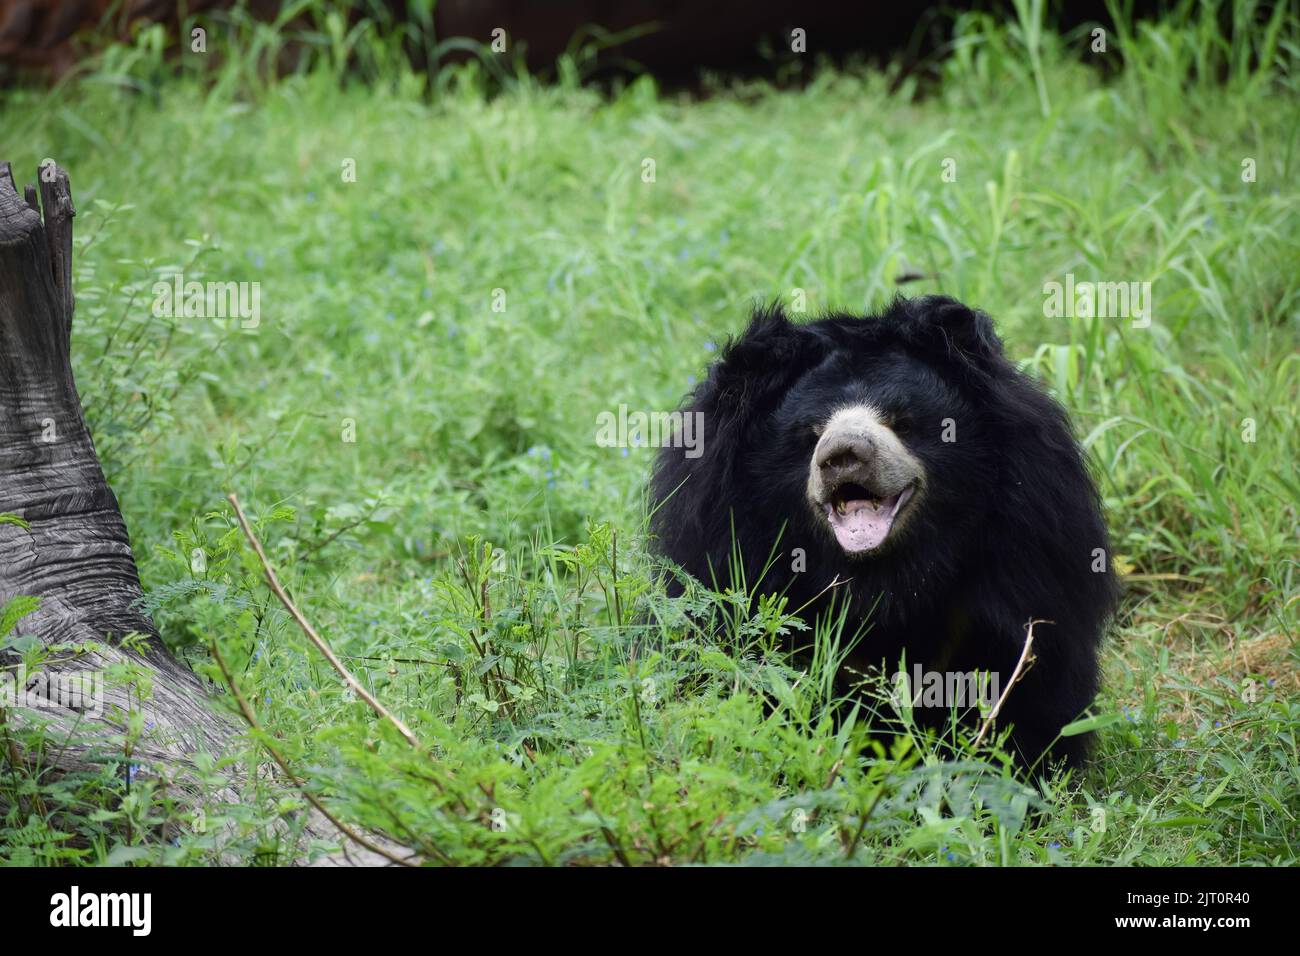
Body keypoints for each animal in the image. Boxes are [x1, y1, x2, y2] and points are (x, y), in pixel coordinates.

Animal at [650, 297, 1118, 770]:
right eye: (811, 433)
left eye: (902, 422)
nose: (844, 454)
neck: (883, 579)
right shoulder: (723, 548)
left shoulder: (1025, 553)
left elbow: (1024, 680)